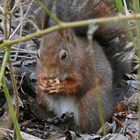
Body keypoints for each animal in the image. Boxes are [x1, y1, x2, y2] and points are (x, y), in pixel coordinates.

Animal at [30, 0, 133, 133]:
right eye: (38, 55)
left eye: (64, 55)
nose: (50, 75)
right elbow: (40, 76)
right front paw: (43, 82)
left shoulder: (85, 66)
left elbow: (80, 84)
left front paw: (62, 87)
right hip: (44, 99)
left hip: (91, 101)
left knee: (89, 125)